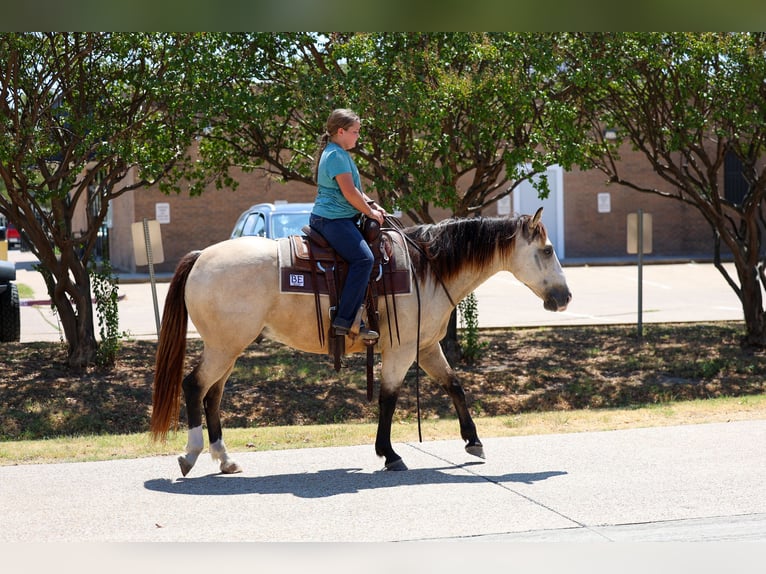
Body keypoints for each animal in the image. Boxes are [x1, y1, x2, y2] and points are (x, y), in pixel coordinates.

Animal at [150, 207, 572, 476]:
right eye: (547, 250)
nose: (565, 297)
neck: (425, 270)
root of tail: (202, 256)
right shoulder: (400, 350)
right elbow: (388, 399)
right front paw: (390, 454)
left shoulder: (425, 347)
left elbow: (454, 385)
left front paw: (473, 441)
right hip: (223, 347)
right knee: (195, 386)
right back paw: (191, 455)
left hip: (228, 348)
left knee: (213, 395)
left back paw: (225, 460)